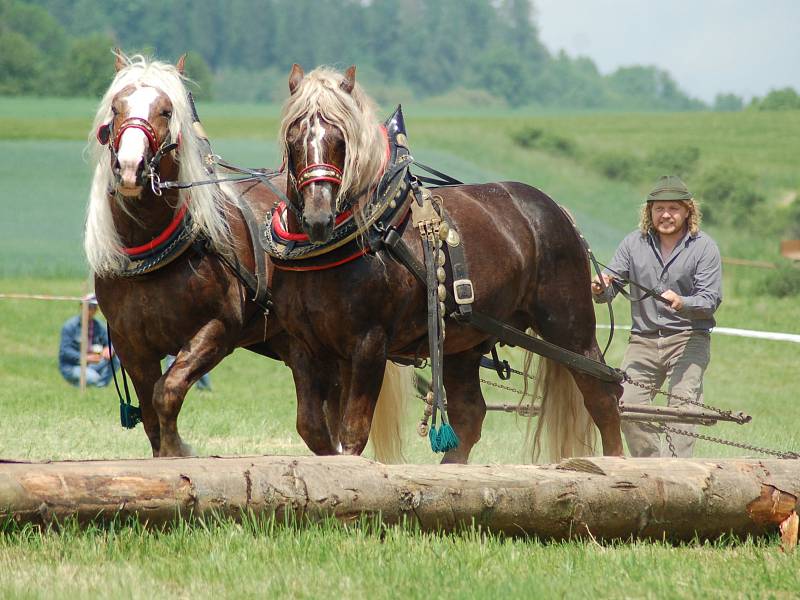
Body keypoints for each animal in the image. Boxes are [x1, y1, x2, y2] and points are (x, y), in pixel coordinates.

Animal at [87, 54, 290, 458]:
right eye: (116, 107)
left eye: (166, 110)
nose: (130, 167)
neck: (153, 259)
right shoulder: (131, 344)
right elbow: (150, 412)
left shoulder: (216, 331)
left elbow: (167, 393)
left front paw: (177, 451)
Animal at [268, 65, 624, 462]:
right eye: (293, 137)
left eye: (341, 139)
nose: (318, 217)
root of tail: (558, 210)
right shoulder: (305, 346)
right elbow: (314, 429)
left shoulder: (369, 344)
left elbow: (352, 432)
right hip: (464, 340)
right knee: (470, 413)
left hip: (568, 324)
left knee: (602, 393)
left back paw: (616, 460)